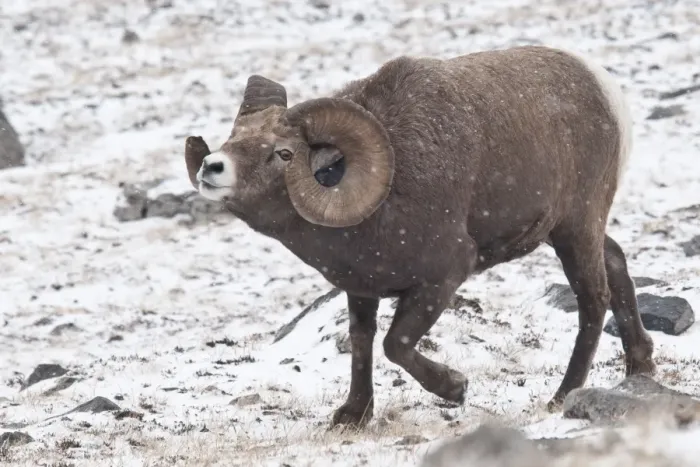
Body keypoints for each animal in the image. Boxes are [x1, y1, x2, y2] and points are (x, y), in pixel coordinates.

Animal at [184, 45, 656, 428]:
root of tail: (604, 88)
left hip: (576, 228)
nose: (211, 167)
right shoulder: (362, 289)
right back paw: (640, 367)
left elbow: (396, 344)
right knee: (616, 263)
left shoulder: (441, 279)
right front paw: (352, 417)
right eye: (234, 137)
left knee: (593, 298)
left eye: (283, 153)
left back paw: (562, 397)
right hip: (573, 232)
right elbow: (363, 343)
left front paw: (455, 388)